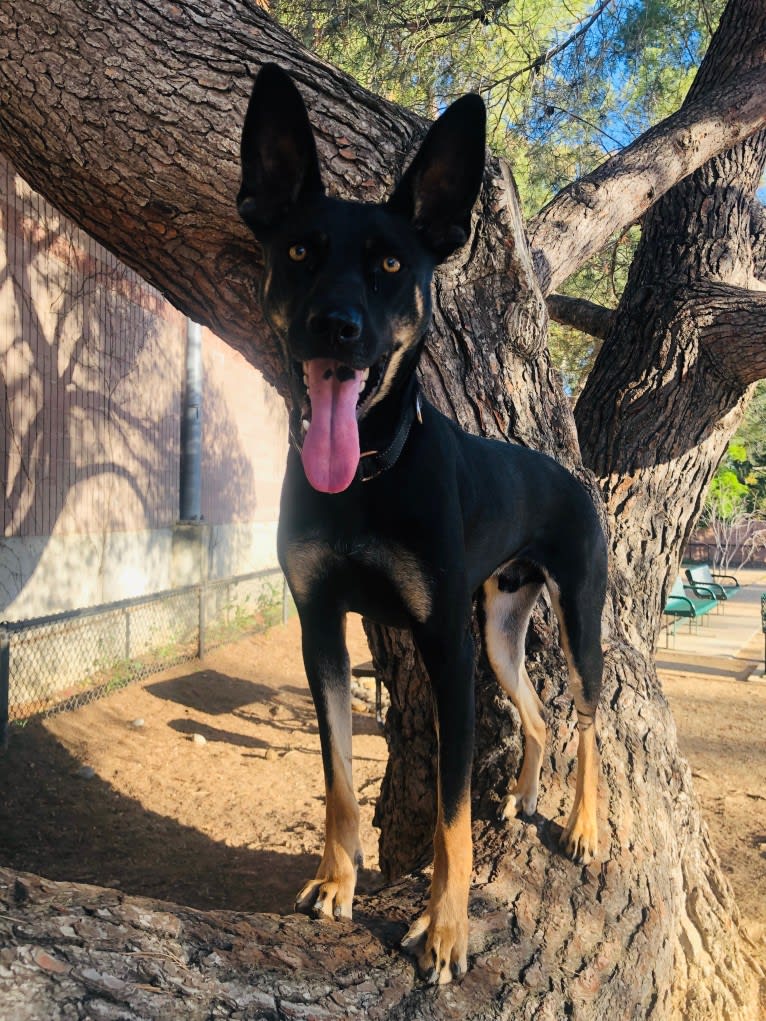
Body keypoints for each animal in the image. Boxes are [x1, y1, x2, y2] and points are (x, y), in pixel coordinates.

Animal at [236, 65, 608, 988]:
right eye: (300, 252)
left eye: (390, 264)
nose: (335, 328)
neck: (372, 469)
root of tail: (571, 472)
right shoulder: (322, 627)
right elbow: (337, 773)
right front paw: (337, 881)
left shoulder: (445, 650)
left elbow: (449, 812)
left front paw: (444, 930)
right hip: (502, 623)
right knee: (539, 719)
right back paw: (523, 796)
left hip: (574, 613)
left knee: (591, 719)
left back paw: (584, 826)